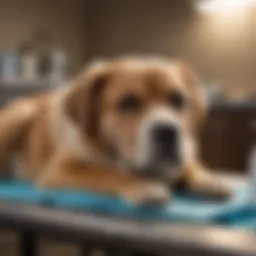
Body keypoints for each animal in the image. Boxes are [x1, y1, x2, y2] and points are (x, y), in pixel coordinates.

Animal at [0, 57, 231, 205]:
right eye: (128, 102)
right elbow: (106, 172)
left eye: (178, 99)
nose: (167, 131)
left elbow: (191, 166)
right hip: (20, 114)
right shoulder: (62, 168)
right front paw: (143, 186)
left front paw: (208, 179)